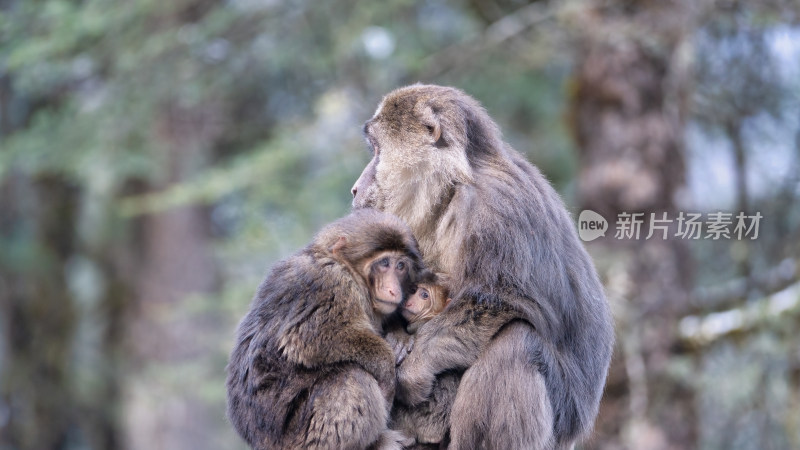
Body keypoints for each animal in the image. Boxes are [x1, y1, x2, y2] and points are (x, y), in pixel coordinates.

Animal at [225, 209, 424, 448]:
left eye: (400, 266)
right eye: (384, 263)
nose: (394, 289)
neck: (345, 267)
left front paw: (397, 335)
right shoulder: (332, 283)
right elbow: (311, 338)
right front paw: (386, 369)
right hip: (301, 436)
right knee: (350, 376)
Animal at [352, 85, 612, 450]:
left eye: (377, 150)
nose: (356, 187)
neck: (454, 185)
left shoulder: (497, 209)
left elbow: (496, 300)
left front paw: (414, 367)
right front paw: (398, 336)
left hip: (558, 422)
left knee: (516, 342)